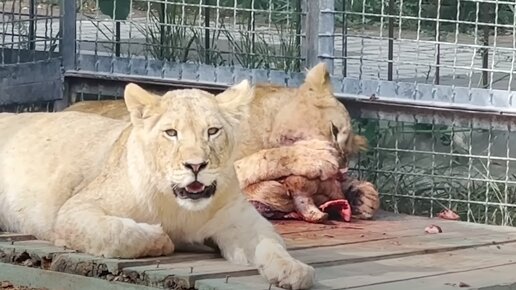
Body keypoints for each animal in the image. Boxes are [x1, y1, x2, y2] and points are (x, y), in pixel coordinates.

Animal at [0, 81, 320, 290]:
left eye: (212, 131)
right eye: (171, 133)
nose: (196, 166)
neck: (179, 206)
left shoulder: (240, 223)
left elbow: (271, 243)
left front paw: (293, 270)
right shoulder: (75, 209)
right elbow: (117, 233)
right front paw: (161, 238)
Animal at [63, 62, 378, 220]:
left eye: (348, 152)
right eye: (334, 129)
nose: (342, 166)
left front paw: (363, 196)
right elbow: (268, 157)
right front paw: (314, 158)